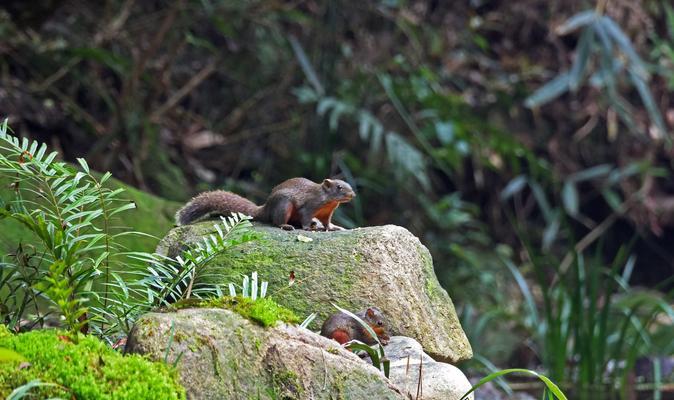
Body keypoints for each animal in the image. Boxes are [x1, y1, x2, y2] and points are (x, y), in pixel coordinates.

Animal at [176, 178, 354, 231]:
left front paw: (334, 227)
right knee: (277, 221)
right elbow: (305, 217)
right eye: (339, 187)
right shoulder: (309, 206)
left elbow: (327, 222)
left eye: (348, 184)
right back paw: (286, 226)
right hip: (284, 205)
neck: (328, 202)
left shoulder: (326, 213)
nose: (353, 194)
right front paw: (307, 228)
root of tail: (266, 208)